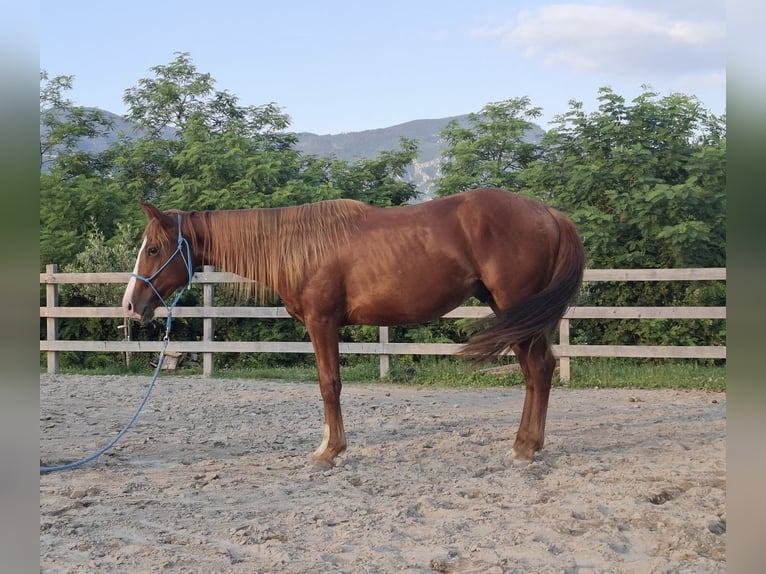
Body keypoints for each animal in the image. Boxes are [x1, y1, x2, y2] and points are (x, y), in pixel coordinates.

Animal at [122, 187, 585, 466]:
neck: (300, 246)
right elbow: (326, 384)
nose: (130, 305)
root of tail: (549, 212)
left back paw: (524, 448)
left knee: (538, 369)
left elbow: (330, 384)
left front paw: (330, 451)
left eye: (154, 249)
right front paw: (326, 444)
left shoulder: (323, 323)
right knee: (536, 371)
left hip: (515, 309)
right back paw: (529, 443)